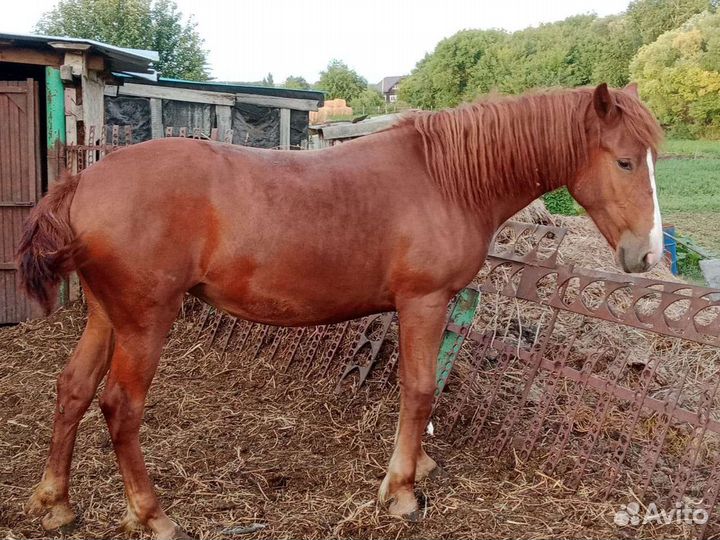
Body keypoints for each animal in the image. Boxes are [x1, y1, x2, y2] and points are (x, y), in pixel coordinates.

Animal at [17, 83, 663, 539]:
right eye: (626, 162)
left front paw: (419, 466)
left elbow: (426, 387)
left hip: (108, 317)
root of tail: (84, 181)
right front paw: (401, 492)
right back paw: (152, 515)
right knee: (120, 408)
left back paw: (56, 503)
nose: (648, 254)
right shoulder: (423, 302)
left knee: (73, 389)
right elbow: (419, 390)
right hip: (146, 322)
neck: (447, 178)